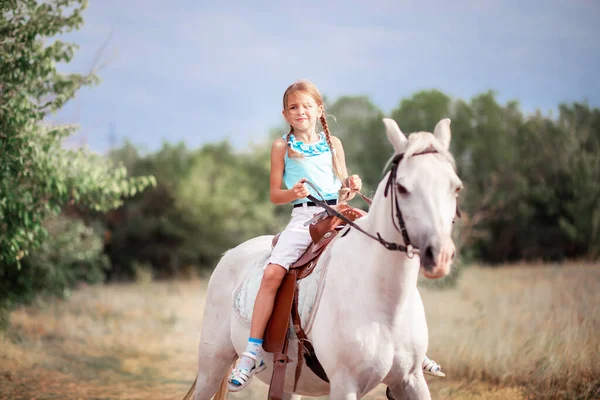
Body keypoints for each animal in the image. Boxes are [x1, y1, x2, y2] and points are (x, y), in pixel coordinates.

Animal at [190, 117, 462, 398]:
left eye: (456, 187)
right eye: (402, 188)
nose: (439, 255)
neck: (385, 303)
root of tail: (230, 253)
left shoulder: (410, 380)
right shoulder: (345, 384)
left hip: (286, 383)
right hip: (212, 365)